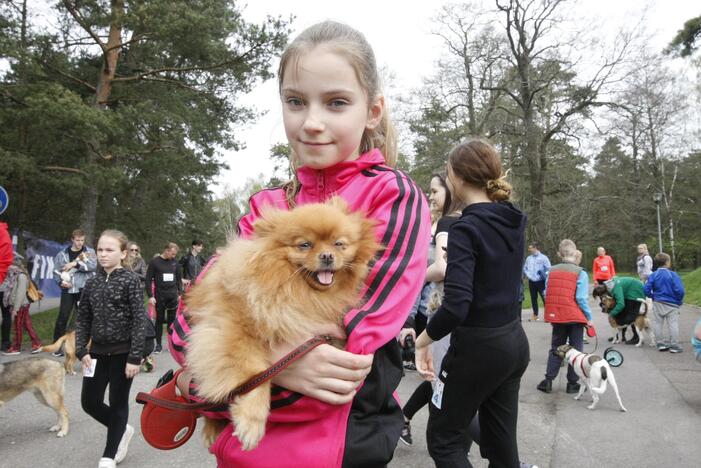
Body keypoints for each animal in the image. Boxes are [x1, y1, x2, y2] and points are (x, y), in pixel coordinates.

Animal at [185, 197, 378, 450]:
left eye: (339, 244)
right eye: (304, 245)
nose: (327, 255)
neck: (294, 290)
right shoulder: (232, 330)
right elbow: (254, 375)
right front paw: (251, 421)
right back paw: (211, 428)